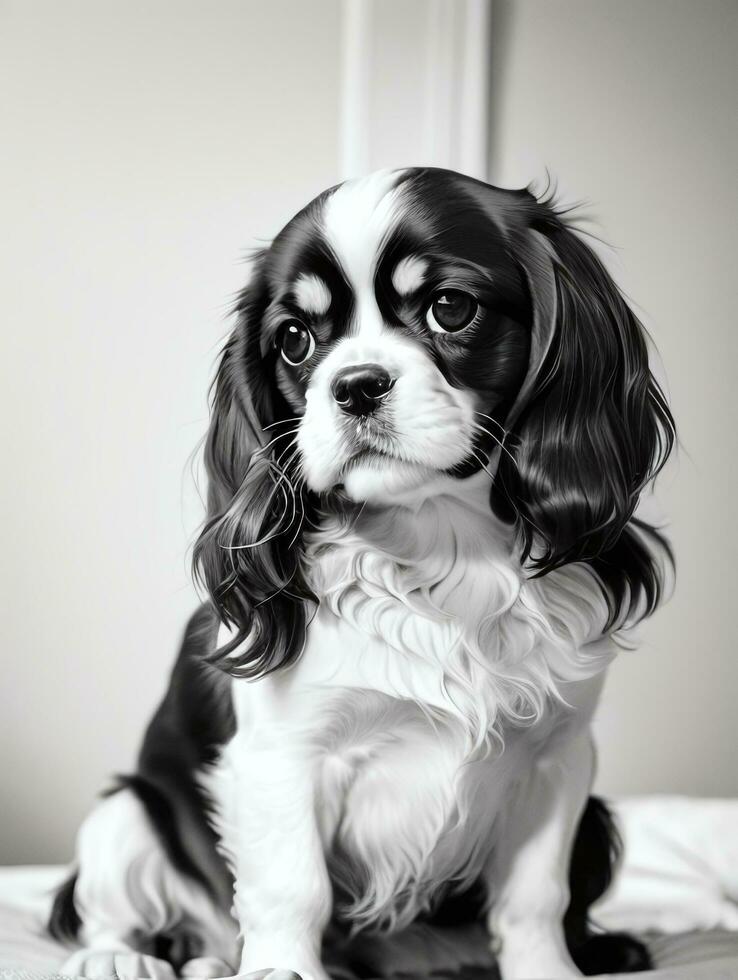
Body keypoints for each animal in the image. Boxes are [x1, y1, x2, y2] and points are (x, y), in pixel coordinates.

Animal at [50, 170, 672, 980]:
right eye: (294, 339)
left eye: (450, 307)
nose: (355, 384)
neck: (442, 548)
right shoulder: (282, 756)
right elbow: (291, 888)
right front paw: (281, 969)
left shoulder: (559, 758)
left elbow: (536, 895)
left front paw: (548, 968)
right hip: (125, 813)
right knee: (113, 909)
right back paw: (131, 960)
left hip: (598, 815)